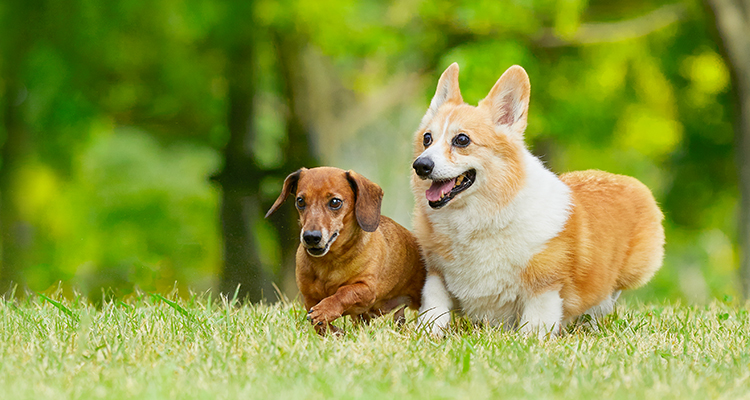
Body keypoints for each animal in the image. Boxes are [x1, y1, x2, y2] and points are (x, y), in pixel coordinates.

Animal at [268, 166, 426, 334]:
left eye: (335, 202)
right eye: (300, 201)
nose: (311, 237)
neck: (328, 263)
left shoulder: (366, 289)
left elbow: (345, 293)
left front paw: (324, 310)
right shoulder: (309, 297)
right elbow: (319, 324)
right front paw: (335, 332)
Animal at [414, 63, 668, 338]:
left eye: (462, 139)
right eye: (427, 139)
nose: (421, 165)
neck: (481, 216)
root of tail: (628, 181)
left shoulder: (545, 285)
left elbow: (535, 324)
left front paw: (528, 341)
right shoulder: (437, 273)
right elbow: (434, 307)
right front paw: (428, 333)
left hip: (629, 273)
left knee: (607, 298)